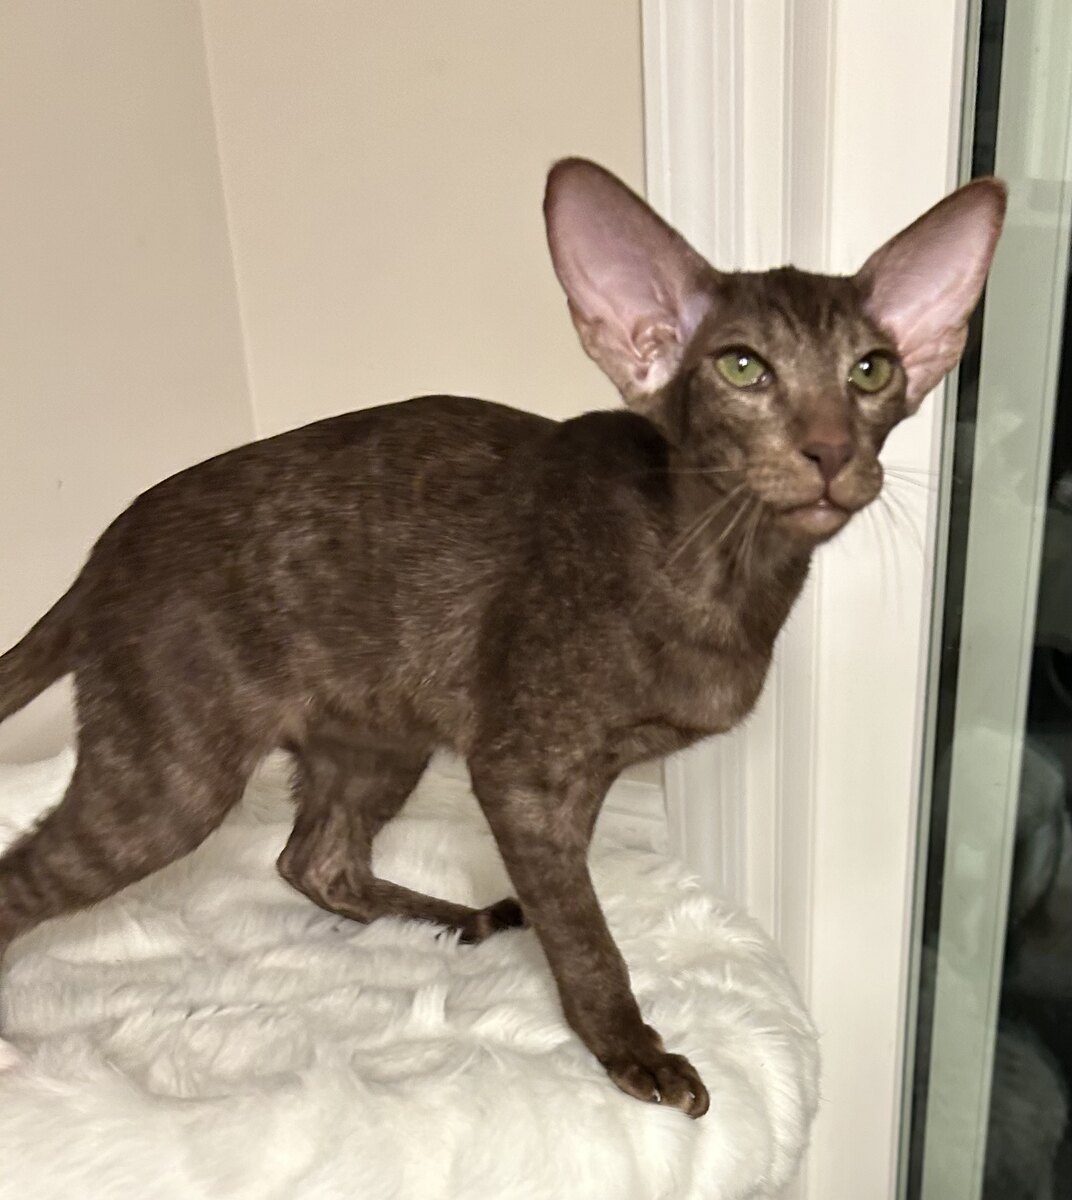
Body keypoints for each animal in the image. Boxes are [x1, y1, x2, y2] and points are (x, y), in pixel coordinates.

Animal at [0, 158, 1004, 1116]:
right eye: (743, 368)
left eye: (871, 372)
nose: (832, 451)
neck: (725, 571)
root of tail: (106, 548)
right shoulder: (521, 766)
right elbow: (587, 933)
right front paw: (630, 1051)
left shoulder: (571, 775)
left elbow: (564, 894)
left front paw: (543, 928)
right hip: (173, 782)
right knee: (29, 876)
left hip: (377, 736)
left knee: (311, 858)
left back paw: (455, 922)